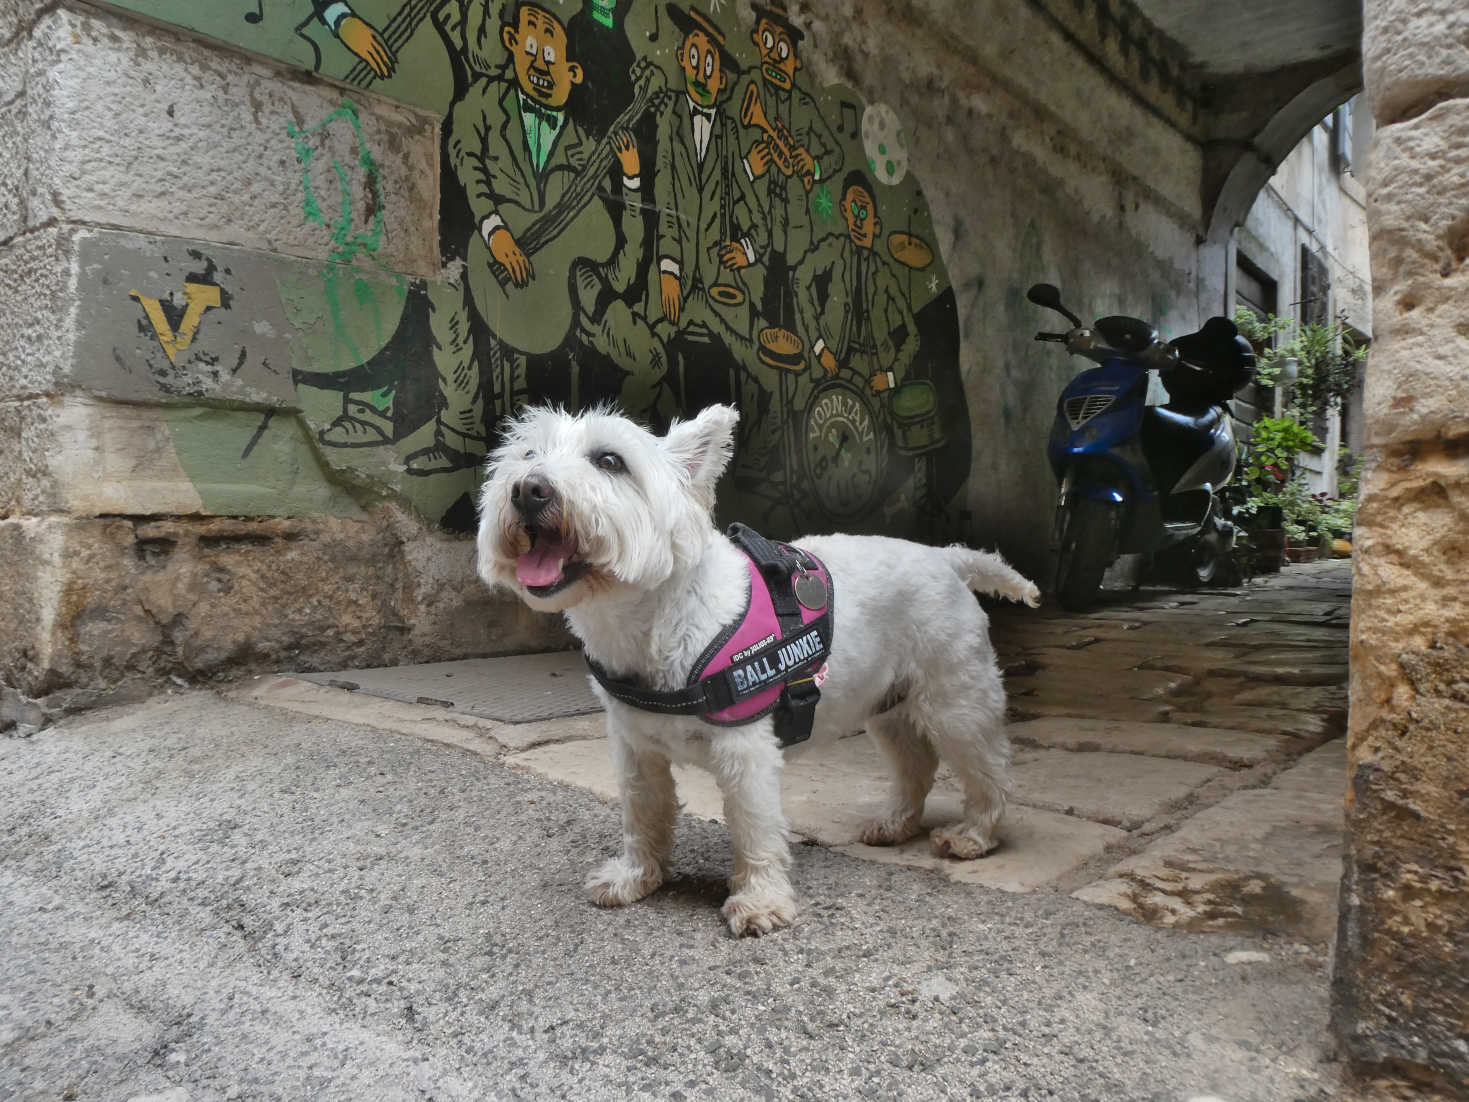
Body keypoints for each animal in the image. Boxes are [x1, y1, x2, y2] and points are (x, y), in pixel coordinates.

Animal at [475, 405, 1040, 940]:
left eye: (609, 461)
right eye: (527, 455)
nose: (527, 490)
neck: (654, 621)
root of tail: (945, 557)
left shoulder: (745, 749)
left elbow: (753, 826)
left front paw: (760, 902)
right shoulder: (635, 749)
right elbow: (641, 812)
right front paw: (635, 878)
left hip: (955, 700)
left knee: (990, 767)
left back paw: (974, 835)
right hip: (888, 707)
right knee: (915, 764)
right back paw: (895, 824)